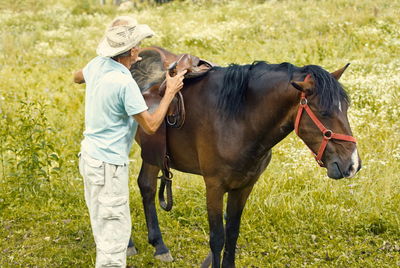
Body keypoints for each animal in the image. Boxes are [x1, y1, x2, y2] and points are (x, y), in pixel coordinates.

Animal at [130, 51, 360, 266]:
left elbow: (232, 233)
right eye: (323, 112)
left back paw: (159, 246)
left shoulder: (244, 186)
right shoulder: (214, 186)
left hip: (153, 155)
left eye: (346, 107)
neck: (236, 119)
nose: (353, 164)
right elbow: (217, 238)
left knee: (147, 185)